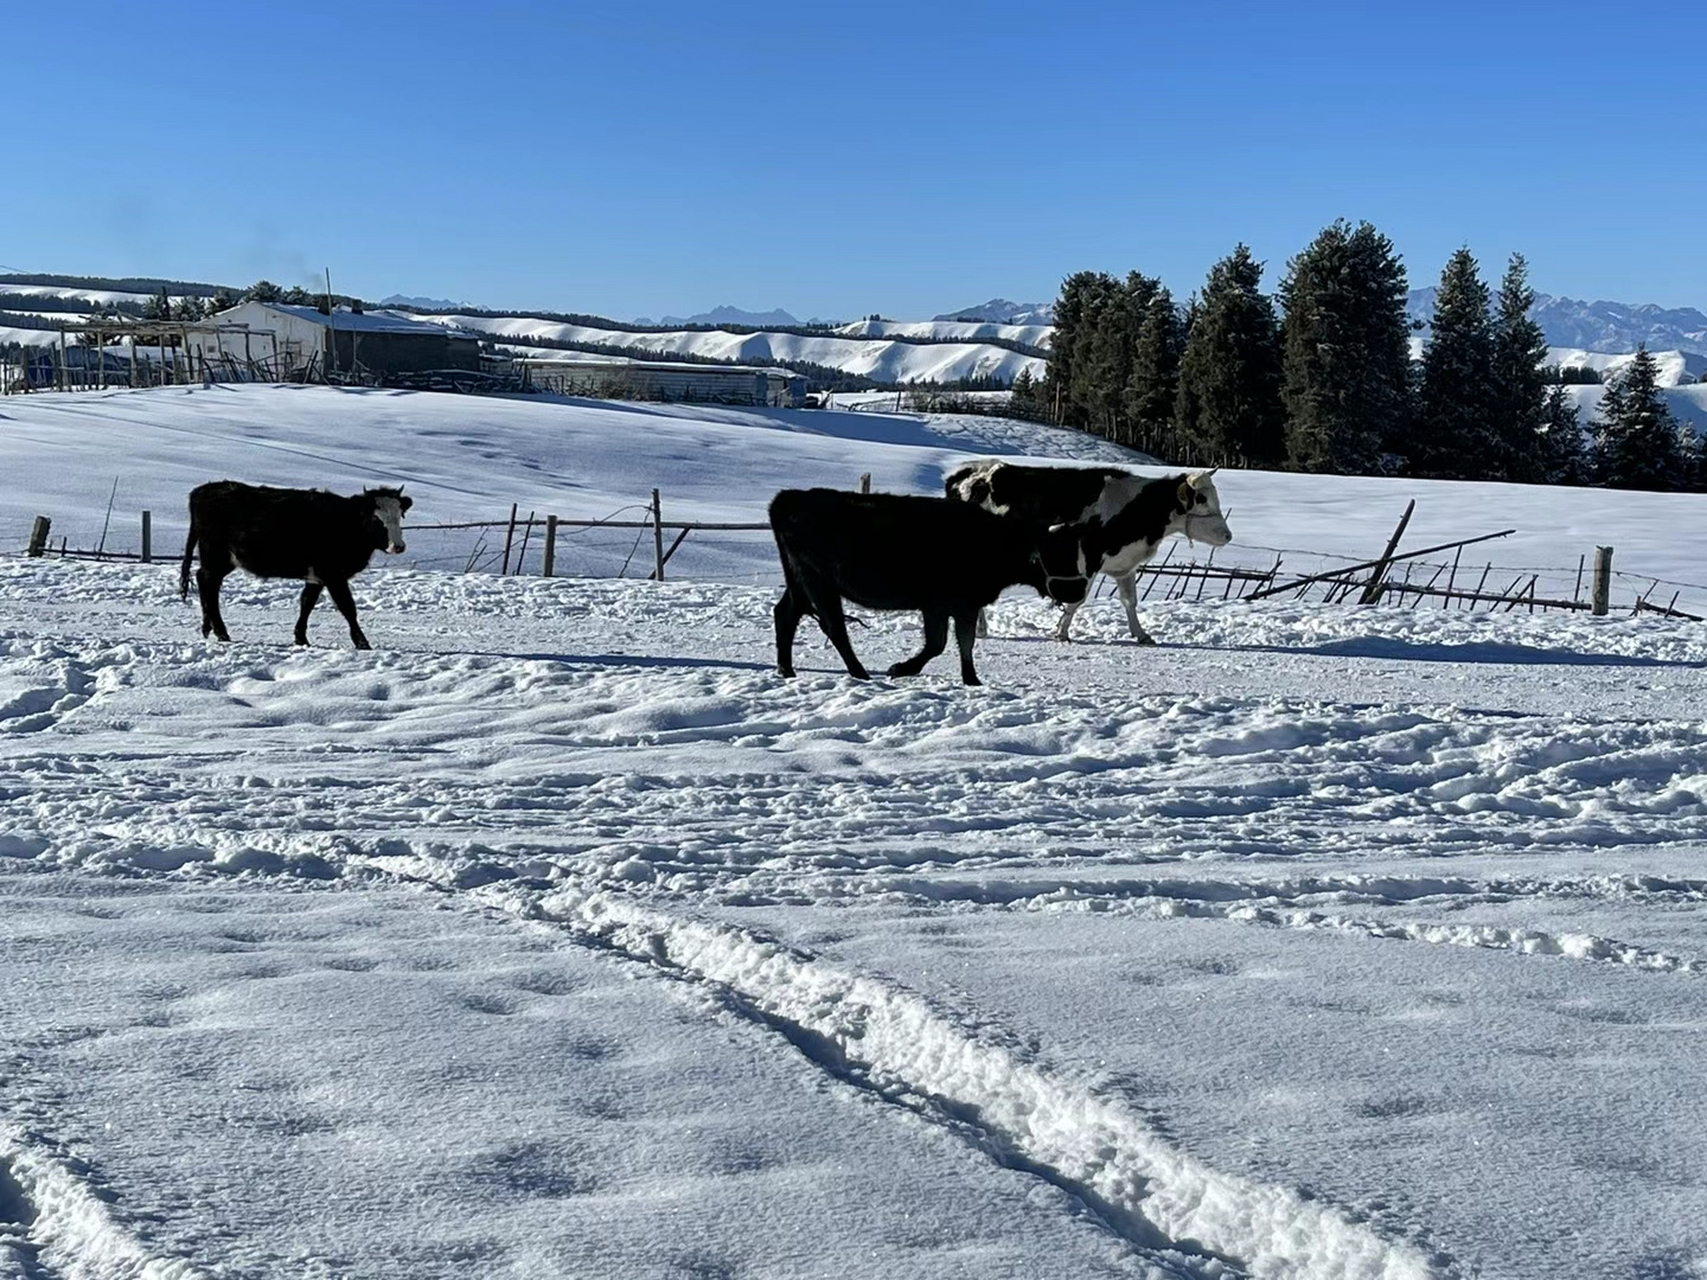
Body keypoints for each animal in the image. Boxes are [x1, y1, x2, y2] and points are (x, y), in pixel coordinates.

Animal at [177, 477, 413, 651]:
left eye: (400, 515)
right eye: (376, 519)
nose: (398, 546)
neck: (347, 521)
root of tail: (202, 490)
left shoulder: (317, 576)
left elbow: (306, 603)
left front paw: (301, 638)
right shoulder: (334, 575)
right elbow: (348, 608)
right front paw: (363, 643)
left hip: (223, 560)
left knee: (204, 582)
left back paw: (208, 627)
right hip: (215, 555)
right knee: (209, 585)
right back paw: (221, 632)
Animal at [771, 488, 1099, 686]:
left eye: (1079, 552)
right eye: (1057, 554)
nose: (1078, 590)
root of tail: (789, 498)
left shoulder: (966, 606)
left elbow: (964, 643)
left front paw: (972, 680)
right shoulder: (939, 605)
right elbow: (938, 643)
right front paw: (900, 668)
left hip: (800, 582)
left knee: (786, 613)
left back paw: (786, 669)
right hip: (819, 584)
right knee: (834, 626)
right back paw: (860, 673)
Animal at [942, 460, 1235, 641]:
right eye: (1202, 498)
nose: (1228, 535)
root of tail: (963, 474)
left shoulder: (1124, 565)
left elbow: (1130, 601)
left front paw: (1141, 634)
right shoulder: (1089, 559)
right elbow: (1077, 600)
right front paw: (1061, 633)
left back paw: (980, 629)